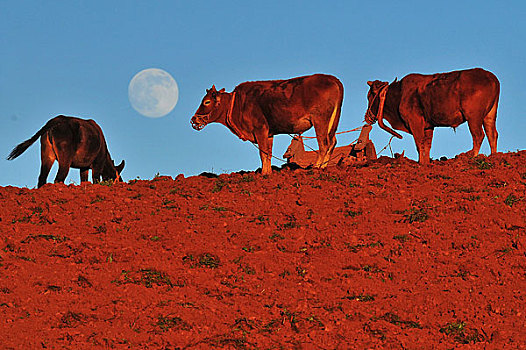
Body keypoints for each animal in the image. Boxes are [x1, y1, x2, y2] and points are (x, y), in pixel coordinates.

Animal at [192, 73, 344, 174]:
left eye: (206, 102)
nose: (194, 119)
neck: (238, 103)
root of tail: (332, 78)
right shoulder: (269, 133)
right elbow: (268, 153)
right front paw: (268, 172)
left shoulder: (260, 129)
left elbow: (263, 153)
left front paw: (264, 173)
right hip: (332, 123)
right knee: (332, 142)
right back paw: (323, 166)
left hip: (320, 120)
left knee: (324, 144)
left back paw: (317, 167)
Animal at [366, 68, 502, 164]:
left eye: (369, 96)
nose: (368, 116)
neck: (399, 94)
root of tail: (492, 77)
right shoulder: (428, 126)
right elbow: (427, 146)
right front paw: (426, 163)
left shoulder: (415, 122)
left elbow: (419, 144)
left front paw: (421, 163)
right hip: (489, 115)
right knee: (492, 134)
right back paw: (493, 156)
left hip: (473, 117)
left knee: (479, 135)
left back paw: (472, 157)